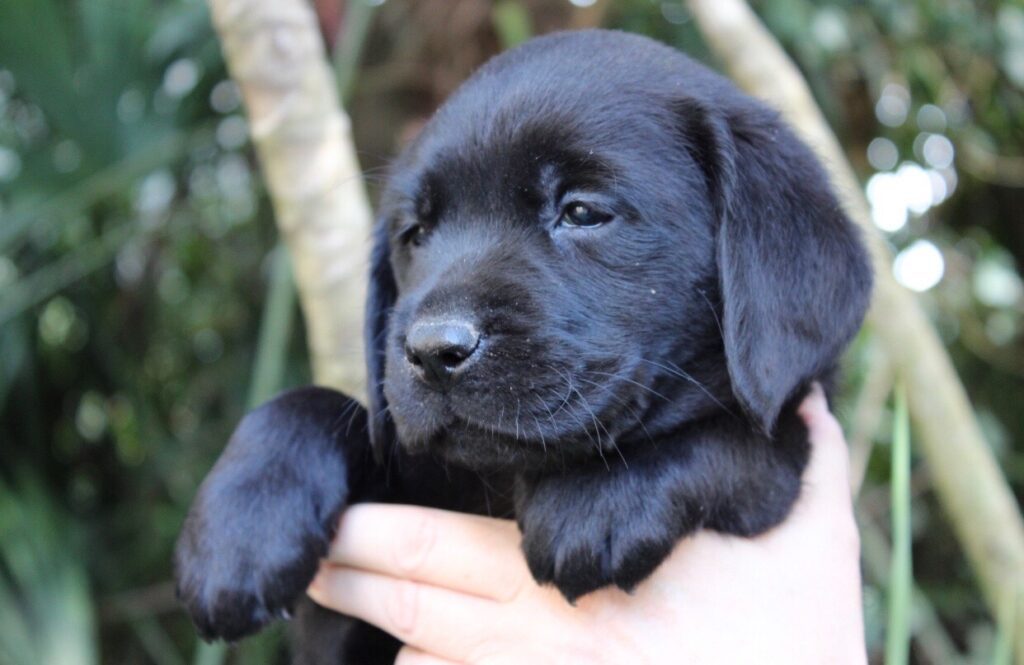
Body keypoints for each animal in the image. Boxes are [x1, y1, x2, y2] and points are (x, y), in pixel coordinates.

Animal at [176, 28, 872, 659]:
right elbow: (315, 405)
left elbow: (739, 438)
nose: (432, 350)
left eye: (582, 212)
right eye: (416, 234)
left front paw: (596, 496)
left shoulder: (783, 460)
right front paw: (239, 530)